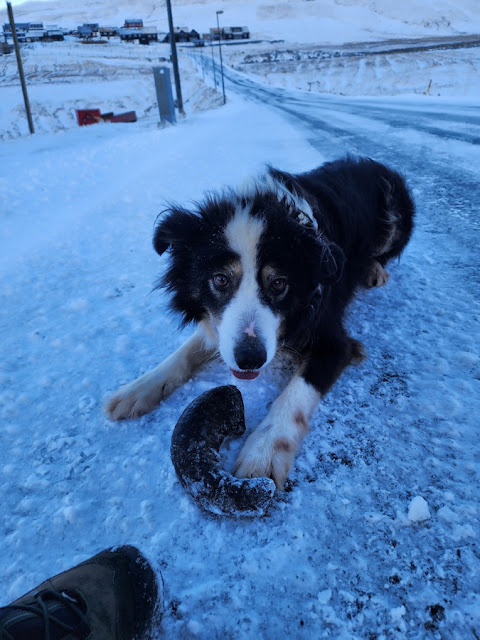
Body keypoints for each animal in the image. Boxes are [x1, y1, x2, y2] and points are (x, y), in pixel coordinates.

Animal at [107, 158, 414, 488]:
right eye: (220, 279)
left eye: (278, 283)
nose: (250, 359)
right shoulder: (223, 330)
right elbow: (186, 352)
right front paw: (137, 390)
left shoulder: (333, 339)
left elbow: (296, 393)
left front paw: (264, 452)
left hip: (396, 212)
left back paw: (374, 270)